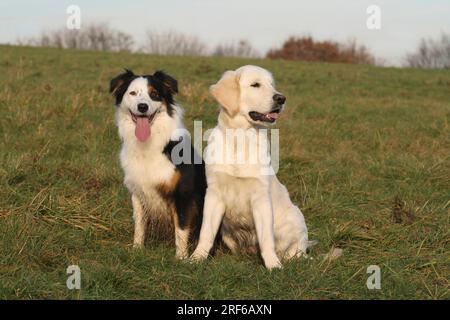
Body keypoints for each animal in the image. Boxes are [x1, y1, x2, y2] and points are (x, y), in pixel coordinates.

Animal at [110, 69, 207, 258]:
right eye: (133, 93)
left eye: (154, 94)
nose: (142, 107)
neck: (148, 144)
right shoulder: (138, 192)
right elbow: (139, 224)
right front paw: (137, 249)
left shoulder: (183, 193)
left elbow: (181, 228)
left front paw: (181, 258)